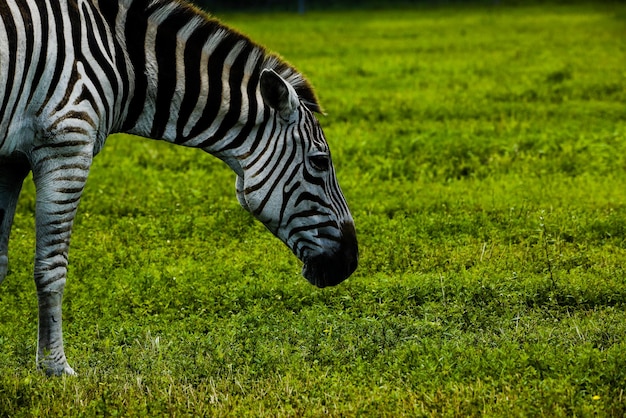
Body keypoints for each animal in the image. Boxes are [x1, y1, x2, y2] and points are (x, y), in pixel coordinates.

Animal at [0, 0, 356, 378]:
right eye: (320, 161)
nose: (351, 261)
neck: (121, 58)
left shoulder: (9, 160)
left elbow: (1, 261)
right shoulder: (67, 146)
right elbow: (51, 268)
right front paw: (54, 368)